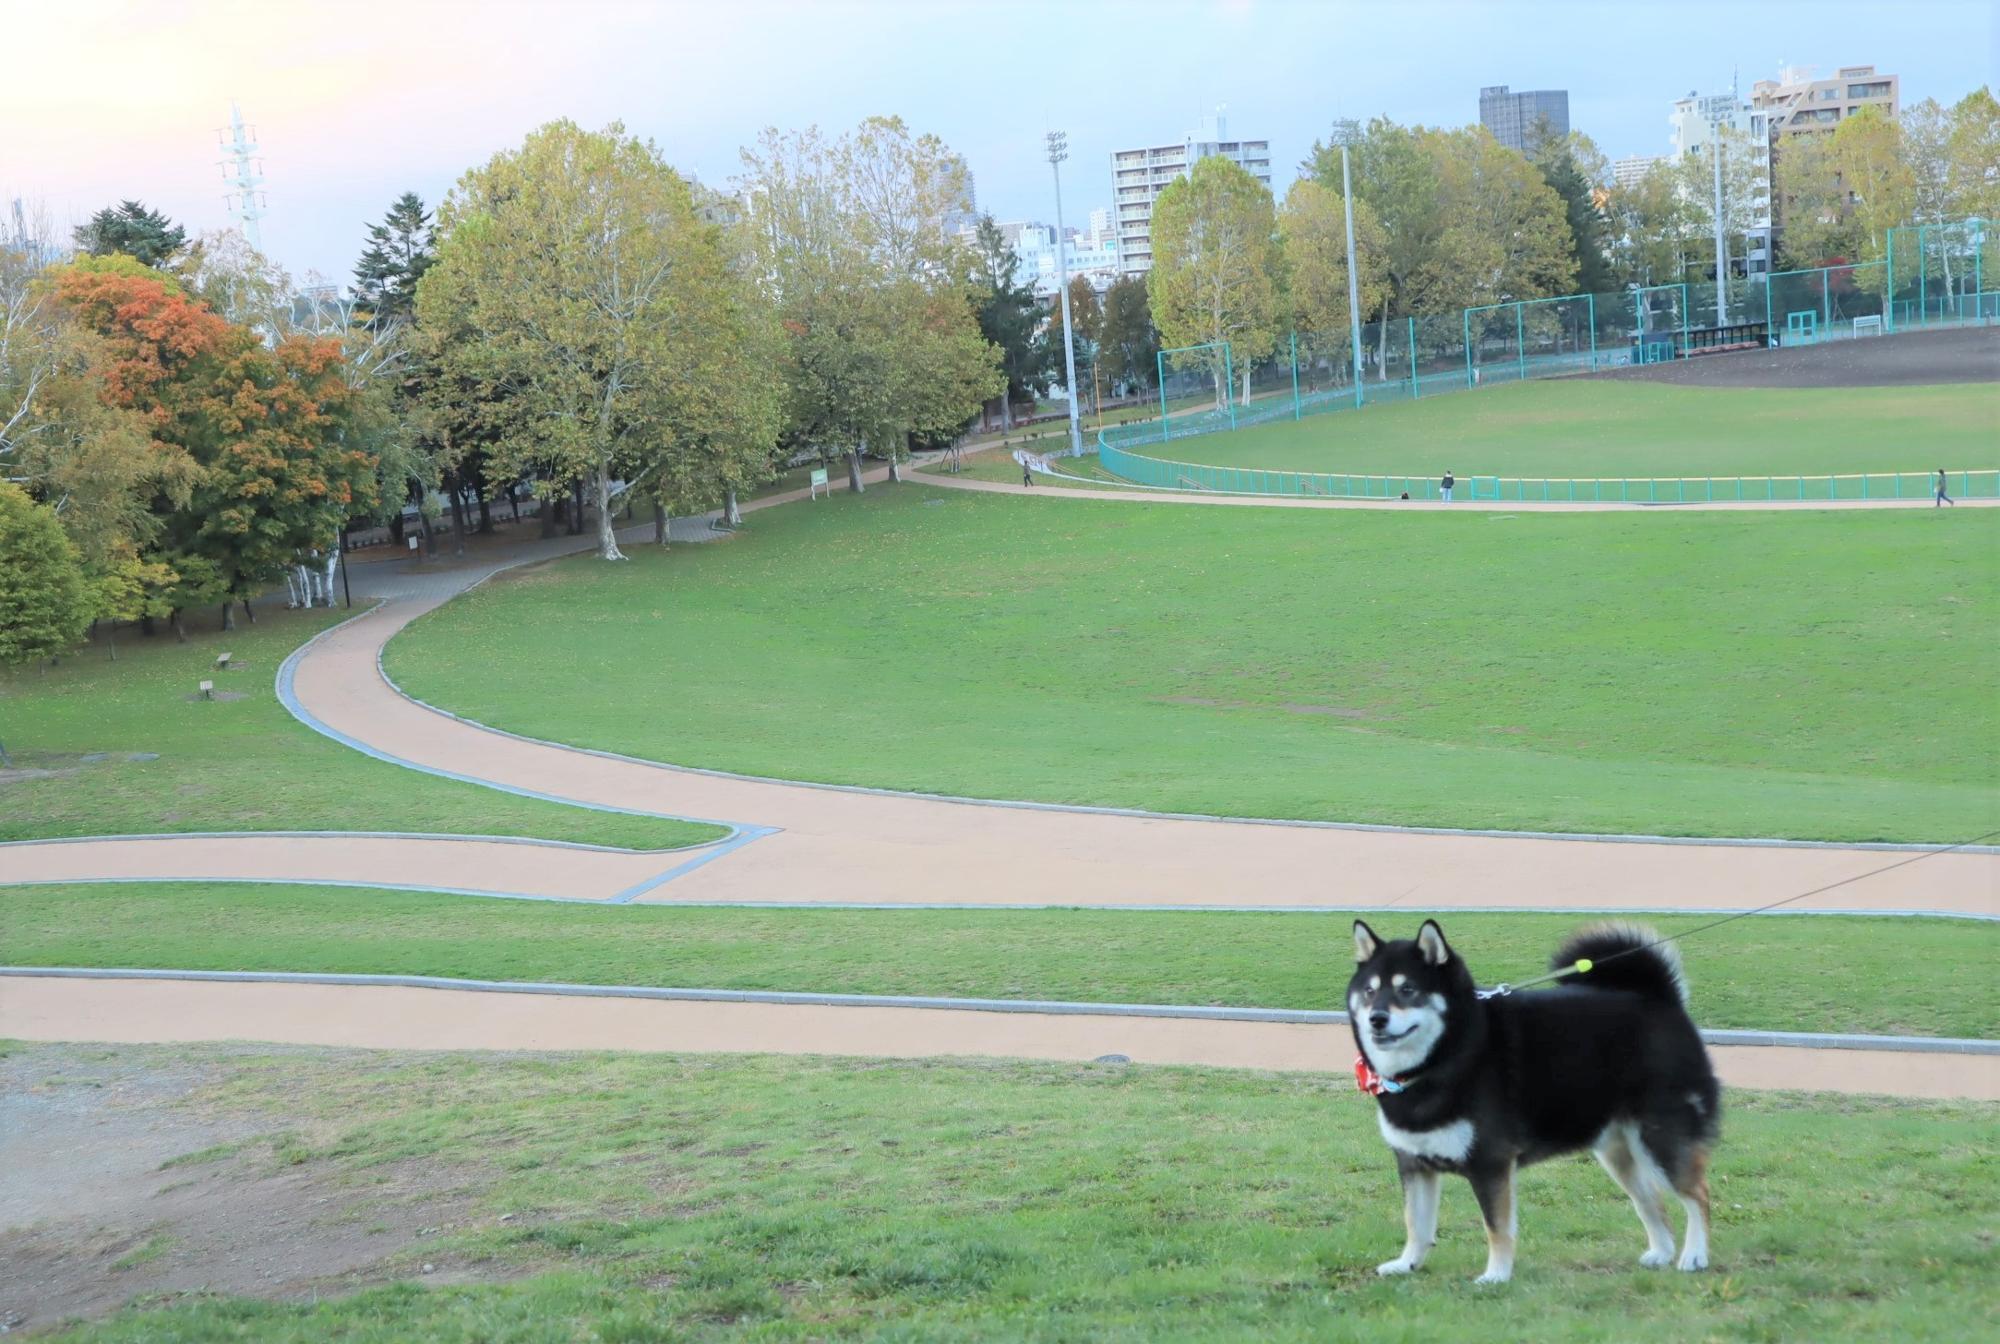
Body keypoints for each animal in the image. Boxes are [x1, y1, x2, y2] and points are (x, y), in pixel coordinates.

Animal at [1344, 924, 1720, 1280]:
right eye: (1370, 991)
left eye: (1408, 989)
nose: (1377, 1018)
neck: (1448, 1055)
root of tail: (1659, 998)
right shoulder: (1413, 1163)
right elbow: (1416, 1225)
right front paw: (1407, 1264)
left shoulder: (1490, 1163)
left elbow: (1496, 1228)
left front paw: (1496, 1275)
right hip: (1618, 1151)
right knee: (1650, 1200)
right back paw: (1661, 1253)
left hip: (1660, 1138)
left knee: (1698, 1194)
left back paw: (1694, 1256)